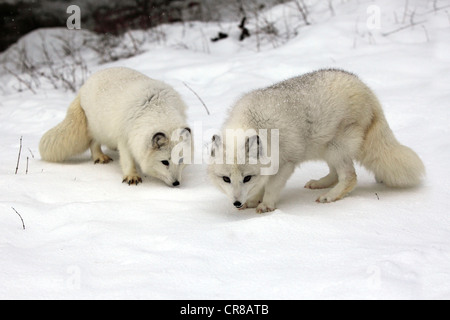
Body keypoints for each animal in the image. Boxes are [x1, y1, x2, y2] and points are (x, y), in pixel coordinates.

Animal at [40, 67, 192, 188]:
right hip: (98, 127)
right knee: (93, 143)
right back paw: (100, 157)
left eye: (181, 160)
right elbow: (127, 160)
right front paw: (132, 176)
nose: (176, 183)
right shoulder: (124, 137)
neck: (156, 107)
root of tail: (82, 88)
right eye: (164, 162)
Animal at [207, 70, 426, 215]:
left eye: (246, 178)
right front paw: (252, 200)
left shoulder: (286, 163)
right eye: (226, 179)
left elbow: (271, 187)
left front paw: (266, 205)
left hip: (336, 148)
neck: (252, 122)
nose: (236, 203)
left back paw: (330, 196)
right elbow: (261, 185)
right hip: (325, 147)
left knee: (349, 177)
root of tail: (366, 88)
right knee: (335, 173)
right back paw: (320, 184)